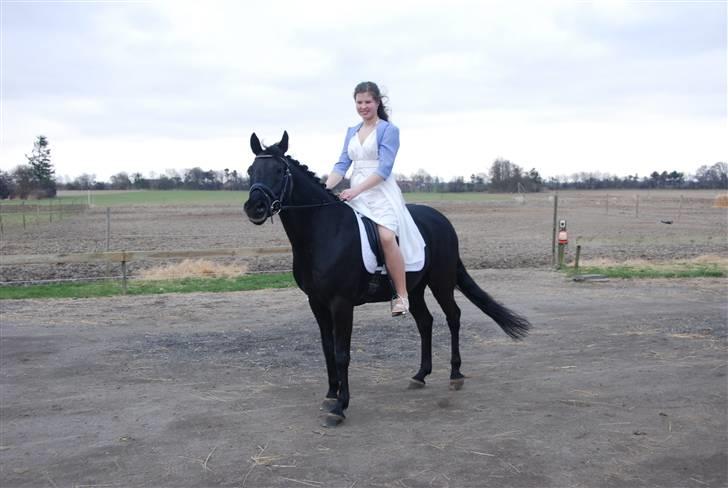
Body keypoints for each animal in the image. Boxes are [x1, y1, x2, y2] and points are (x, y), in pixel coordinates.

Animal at [243, 131, 531, 427]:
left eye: (279, 170)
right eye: (251, 170)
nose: (255, 207)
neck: (324, 231)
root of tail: (442, 220)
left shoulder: (341, 304)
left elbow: (342, 353)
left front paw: (340, 407)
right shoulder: (317, 302)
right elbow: (327, 350)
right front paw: (330, 395)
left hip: (441, 281)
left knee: (453, 316)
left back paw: (455, 375)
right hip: (413, 289)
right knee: (425, 322)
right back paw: (420, 375)